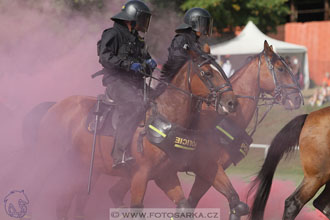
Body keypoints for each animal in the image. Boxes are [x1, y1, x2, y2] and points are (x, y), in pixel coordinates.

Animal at [25, 47, 237, 219]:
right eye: (207, 73)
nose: (231, 103)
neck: (166, 117)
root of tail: (54, 107)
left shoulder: (165, 175)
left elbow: (184, 206)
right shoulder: (140, 176)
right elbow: (135, 209)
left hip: (77, 171)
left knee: (63, 204)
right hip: (48, 162)